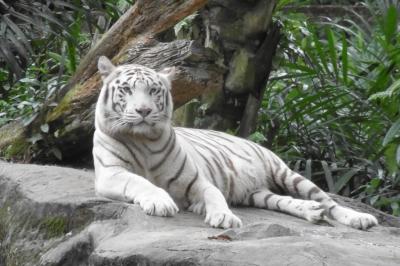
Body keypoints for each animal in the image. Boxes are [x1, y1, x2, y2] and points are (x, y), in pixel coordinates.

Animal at [93, 55, 378, 230]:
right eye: (127, 90)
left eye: (153, 90)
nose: (144, 111)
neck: (144, 140)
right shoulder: (111, 174)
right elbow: (140, 182)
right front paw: (161, 202)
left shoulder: (197, 180)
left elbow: (214, 194)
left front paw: (225, 217)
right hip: (258, 194)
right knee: (284, 201)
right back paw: (311, 211)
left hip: (286, 173)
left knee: (330, 202)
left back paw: (359, 218)